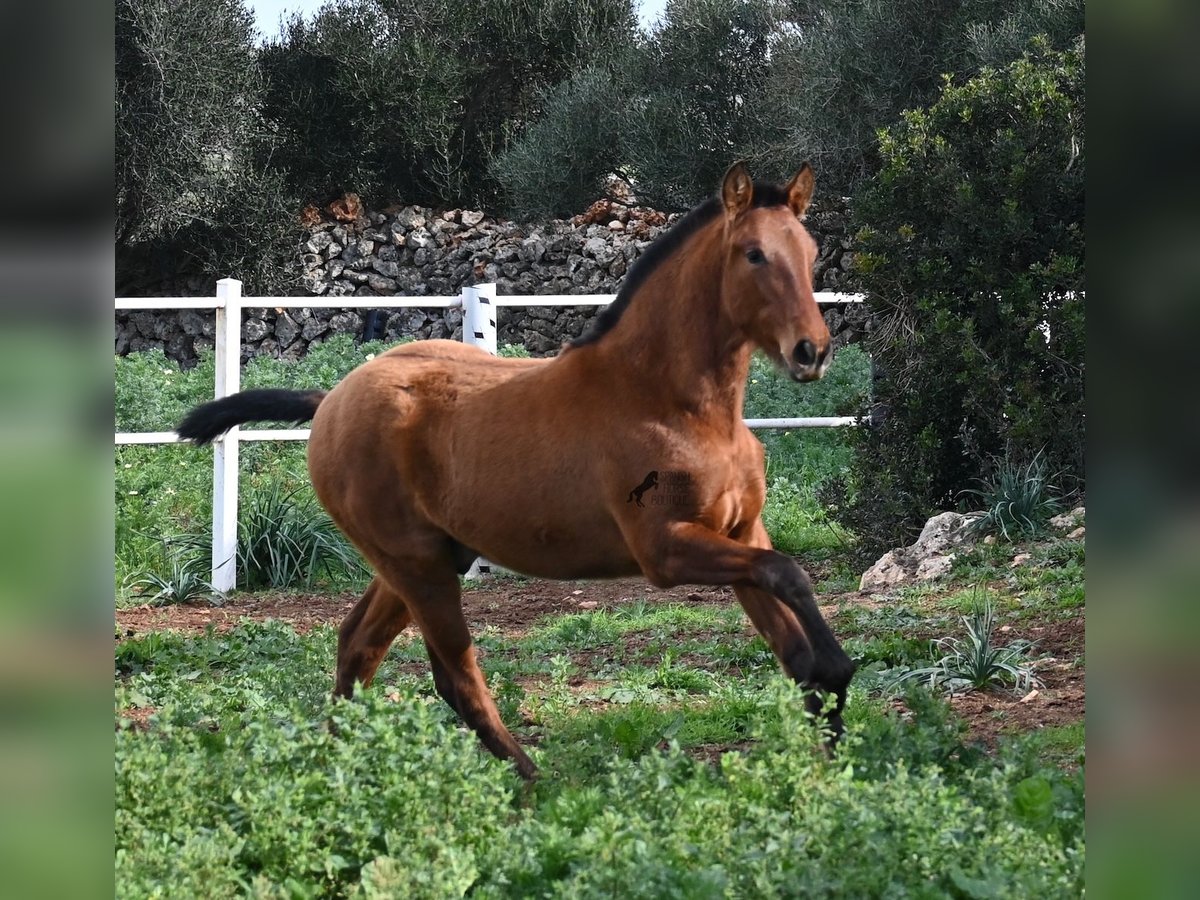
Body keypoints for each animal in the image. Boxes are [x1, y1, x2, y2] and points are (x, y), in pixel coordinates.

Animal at [175, 164, 854, 782]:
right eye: (754, 254)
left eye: (810, 252)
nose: (812, 351)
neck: (670, 401)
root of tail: (331, 400)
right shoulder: (667, 549)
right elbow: (789, 573)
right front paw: (838, 680)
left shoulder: (740, 531)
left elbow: (789, 631)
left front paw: (828, 744)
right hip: (416, 565)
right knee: (453, 673)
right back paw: (530, 780)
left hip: (422, 560)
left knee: (357, 643)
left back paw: (334, 769)